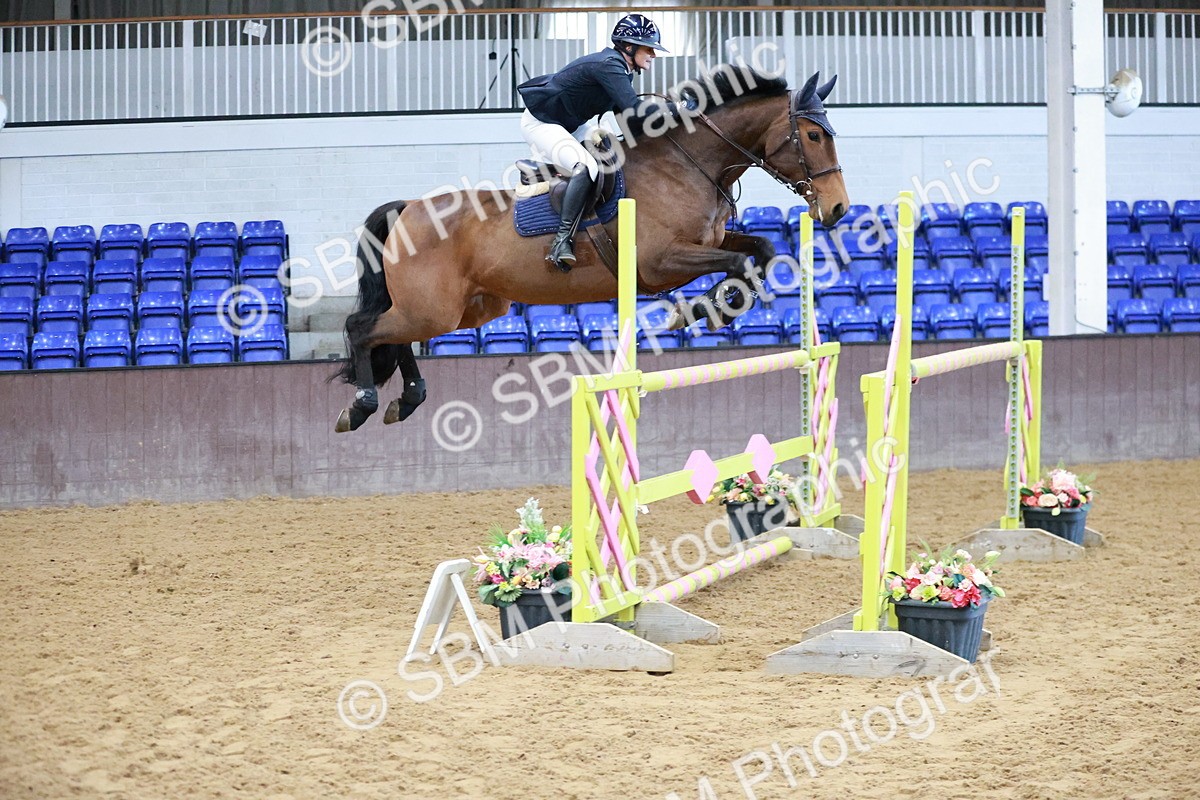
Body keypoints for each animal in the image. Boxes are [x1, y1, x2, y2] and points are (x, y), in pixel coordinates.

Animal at [331, 66, 849, 433]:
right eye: (813, 135)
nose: (838, 208)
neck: (687, 164)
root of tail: (409, 209)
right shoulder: (661, 264)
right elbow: (741, 261)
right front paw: (702, 310)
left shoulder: (710, 242)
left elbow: (761, 249)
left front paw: (715, 306)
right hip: (433, 309)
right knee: (362, 328)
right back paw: (362, 407)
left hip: (467, 309)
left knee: (393, 335)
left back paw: (406, 400)